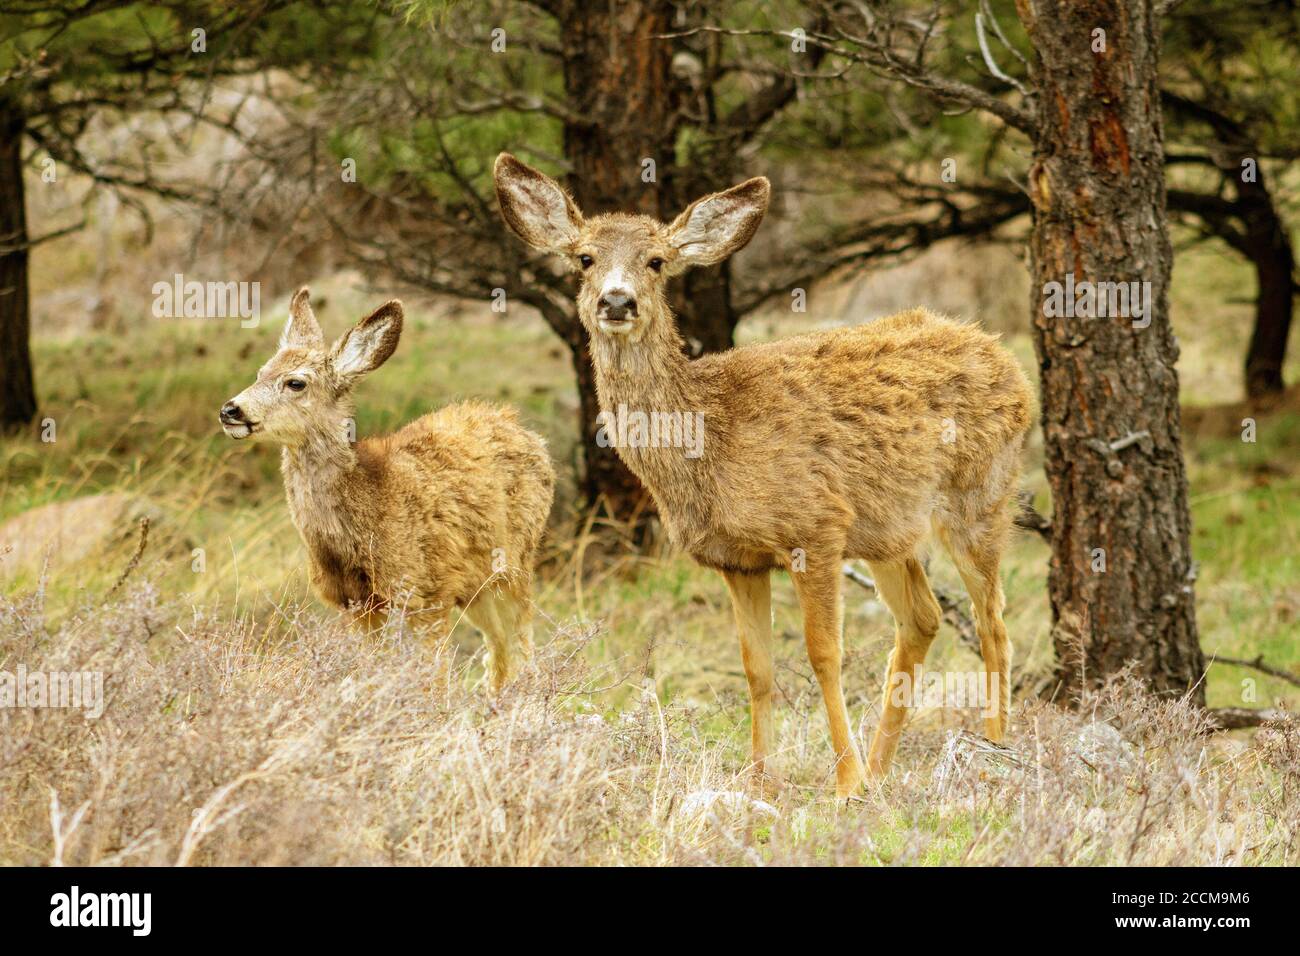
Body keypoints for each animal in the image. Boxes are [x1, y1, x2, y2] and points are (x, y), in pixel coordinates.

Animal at [220, 287, 556, 691]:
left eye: (296, 382)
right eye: (261, 372)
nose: (231, 410)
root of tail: (526, 430)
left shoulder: (427, 591)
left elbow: (433, 676)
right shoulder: (358, 604)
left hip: (516, 562)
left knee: (521, 641)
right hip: (478, 586)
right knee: (500, 648)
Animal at [491, 155, 1029, 801]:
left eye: (656, 261)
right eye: (585, 258)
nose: (617, 302)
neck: (709, 442)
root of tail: (1004, 357)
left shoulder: (816, 526)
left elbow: (824, 654)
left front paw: (844, 782)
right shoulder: (737, 560)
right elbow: (757, 668)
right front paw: (760, 780)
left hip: (982, 495)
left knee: (993, 622)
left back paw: (991, 750)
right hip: (888, 529)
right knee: (924, 617)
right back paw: (883, 771)